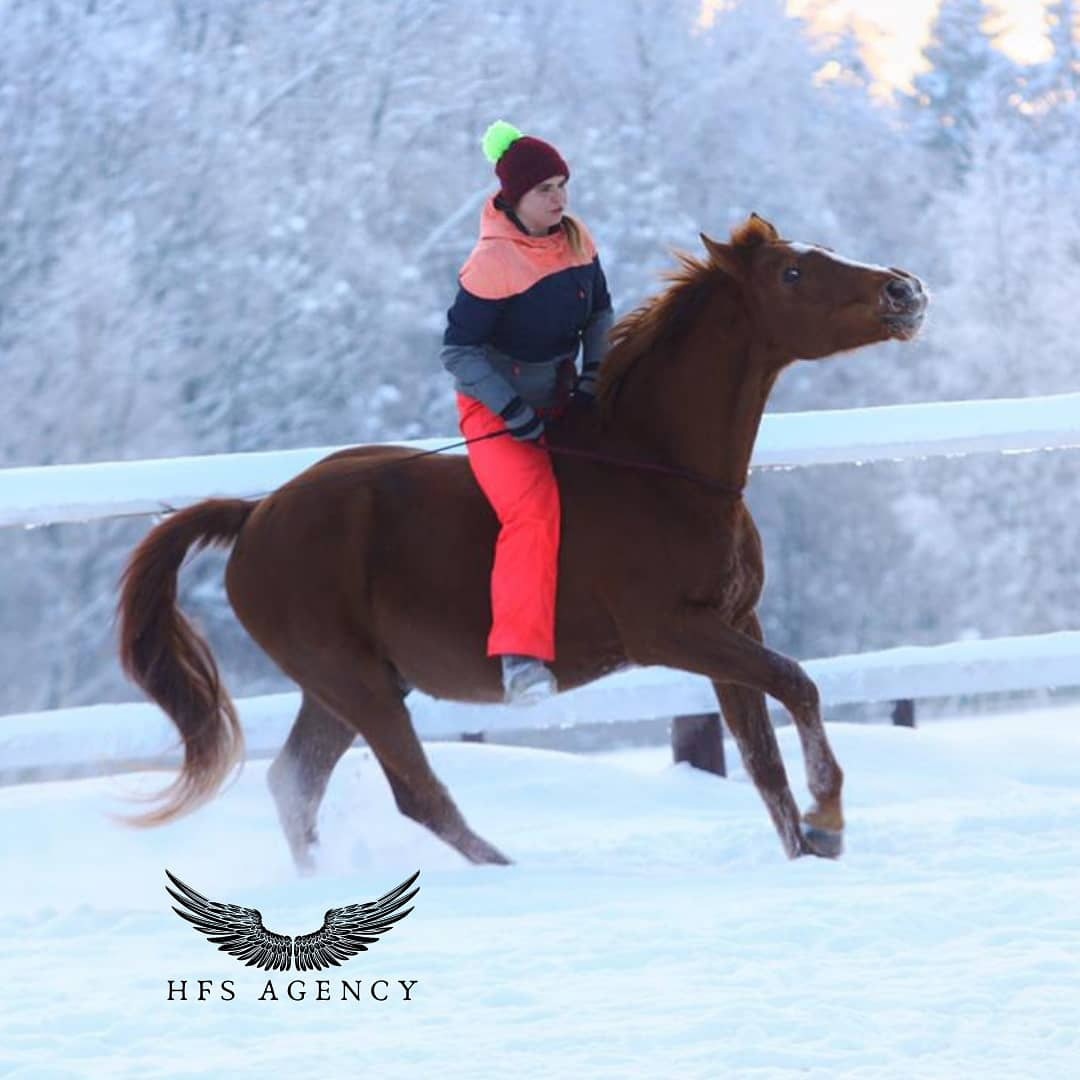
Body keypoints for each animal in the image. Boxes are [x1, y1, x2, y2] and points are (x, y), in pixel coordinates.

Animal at [118, 213, 928, 871]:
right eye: (792, 272)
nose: (905, 289)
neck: (655, 467)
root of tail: (255, 514)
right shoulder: (673, 632)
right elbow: (798, 684)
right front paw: (829, 817)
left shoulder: (734, 624)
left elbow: (764, 756)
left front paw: (809, 844)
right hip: (358, 685)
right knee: (417, 794)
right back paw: (505, 871)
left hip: (344, 687)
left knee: (295, 784)